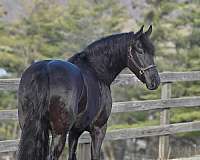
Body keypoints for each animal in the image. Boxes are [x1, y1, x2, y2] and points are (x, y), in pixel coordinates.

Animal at [17, 25, 161, 159]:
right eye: (140, 50)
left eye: (152, 52)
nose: (155, 81)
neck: (96, 71)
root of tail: (44, 71)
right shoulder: (98, 129)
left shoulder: (75, 131)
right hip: (59, 133)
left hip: (32, 129)